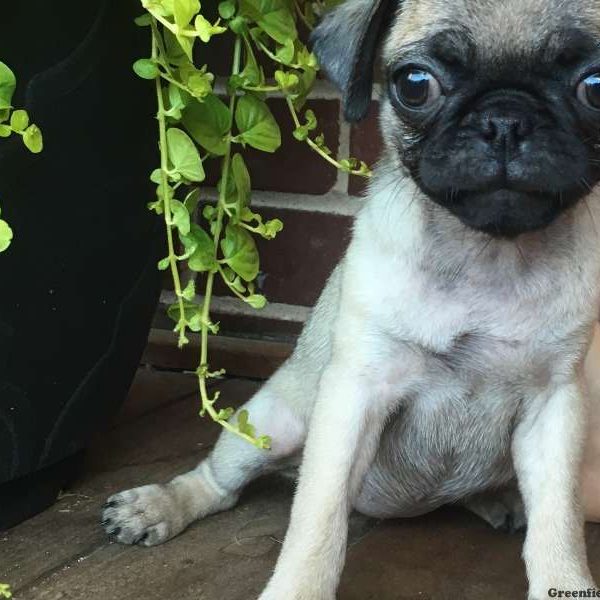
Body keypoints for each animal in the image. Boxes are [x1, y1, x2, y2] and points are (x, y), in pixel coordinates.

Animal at [101, 1, 600, 600]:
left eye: (596, 86)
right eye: (414, 85)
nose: (506, 119)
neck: (488, 252)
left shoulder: (556, 409)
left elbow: (559, 525)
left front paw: (563, 579)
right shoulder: (356, 395)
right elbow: (319, 522)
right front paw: (296, 588)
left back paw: (497, 500)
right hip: (271, 424)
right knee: (219, 484)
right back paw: (159, 506)